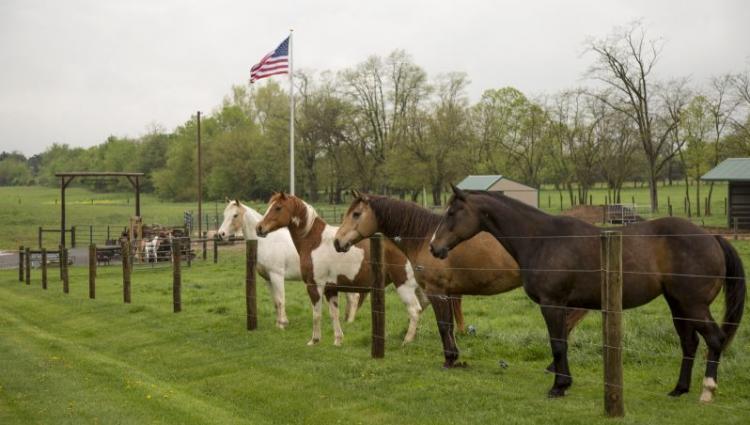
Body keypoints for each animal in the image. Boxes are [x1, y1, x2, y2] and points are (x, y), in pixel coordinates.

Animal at [217, 199, 364, 328]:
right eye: (224, 214)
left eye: (235, 215)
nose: (221, 234)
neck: (267, 242)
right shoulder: (268, 279)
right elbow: (275, 301)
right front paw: (279, 323)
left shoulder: (277, 276)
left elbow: (281, 299)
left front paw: (282, 324)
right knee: (352, 298)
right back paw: (345, 320)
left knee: (354, 297)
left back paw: (349, 322)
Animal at [256, 192, 426, 344]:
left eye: (278, 207)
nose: (259, 228)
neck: (314, 241)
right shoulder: (331, 289)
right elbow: (334, 314)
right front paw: (338, 340)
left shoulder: (314, 286)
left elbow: (316, 314)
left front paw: (314, 340)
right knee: (422, 306)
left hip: (404, 286)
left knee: (415, 310)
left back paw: (407, 340)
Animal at [428, 186, 748, 400]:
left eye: (453, 213)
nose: (434, 247)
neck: (542, 239)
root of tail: (712, 237)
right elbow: (561, 343)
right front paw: (563, 382)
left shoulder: (553, 304)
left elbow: (558, 344)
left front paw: (559, 386)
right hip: (678, 305)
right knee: (689, 344)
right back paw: (679, 389)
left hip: (693, 305)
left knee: (715, 339)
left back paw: (707, 391)